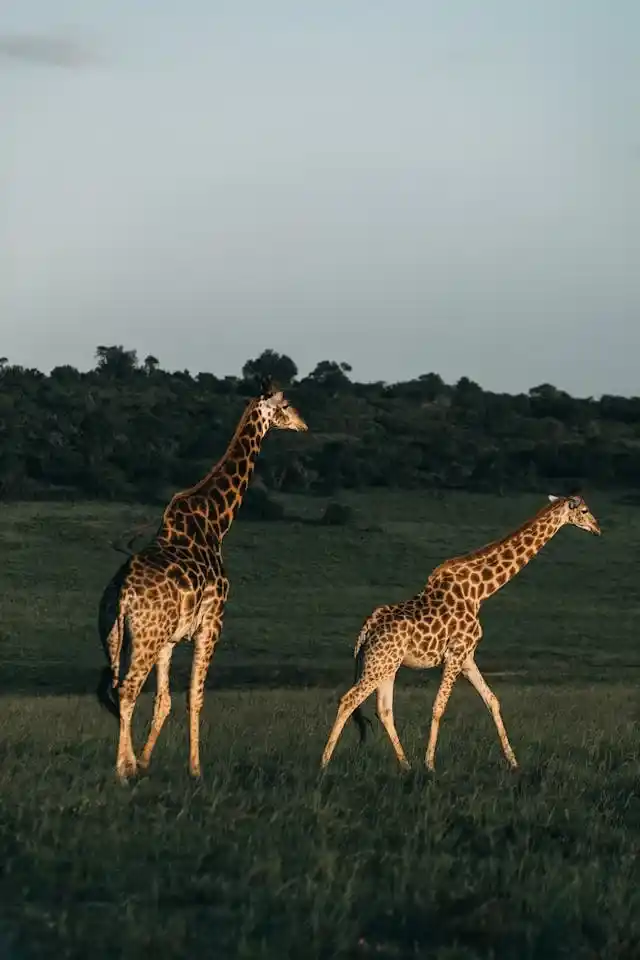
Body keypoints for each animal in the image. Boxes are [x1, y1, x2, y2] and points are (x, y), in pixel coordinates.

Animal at [97, 380, 308, 782]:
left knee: (116, 687)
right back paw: (120, 769)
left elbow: (163, 700)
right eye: (286, 404)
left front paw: (145, 761)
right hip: (145, 636)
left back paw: (128, 763)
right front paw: (195, 767)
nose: (303, 425)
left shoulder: (169, 639)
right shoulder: (211, 622)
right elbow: (195, 696)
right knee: (128, 689)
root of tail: (121, 594)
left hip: (116, 636)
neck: (217, 523)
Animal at [321, 494, 601, 772]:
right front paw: (430, 764)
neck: (479, 591)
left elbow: (492, 700)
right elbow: (438, 707)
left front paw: (512, 761)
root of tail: (367, 629)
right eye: (584, 510)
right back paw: (324, 764)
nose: (597, 528)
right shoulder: (456, 654)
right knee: (348, 700)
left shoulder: (467, 657)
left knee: (384, 709)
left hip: (387, 665)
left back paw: (406, 765)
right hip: (378, 665)